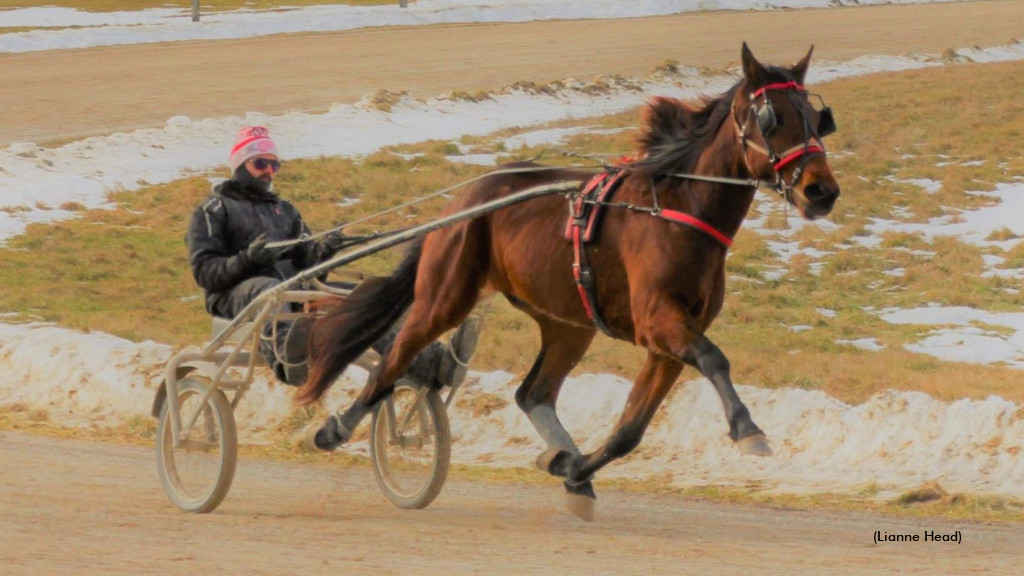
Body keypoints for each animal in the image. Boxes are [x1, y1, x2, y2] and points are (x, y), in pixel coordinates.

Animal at [299, 43, 839, 520]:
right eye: (771, 117)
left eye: (815, 119)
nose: (822, 191)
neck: (677, 207)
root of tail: (463, 201)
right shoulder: (659, 322)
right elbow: (714, 358)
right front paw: (748, 429)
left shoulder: (667, 344)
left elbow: (630, 430)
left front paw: (575, 469)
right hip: (446, 294)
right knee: (393, 360)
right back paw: (337, 428)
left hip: (568, 321)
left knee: (532, 393)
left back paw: (561, 453)